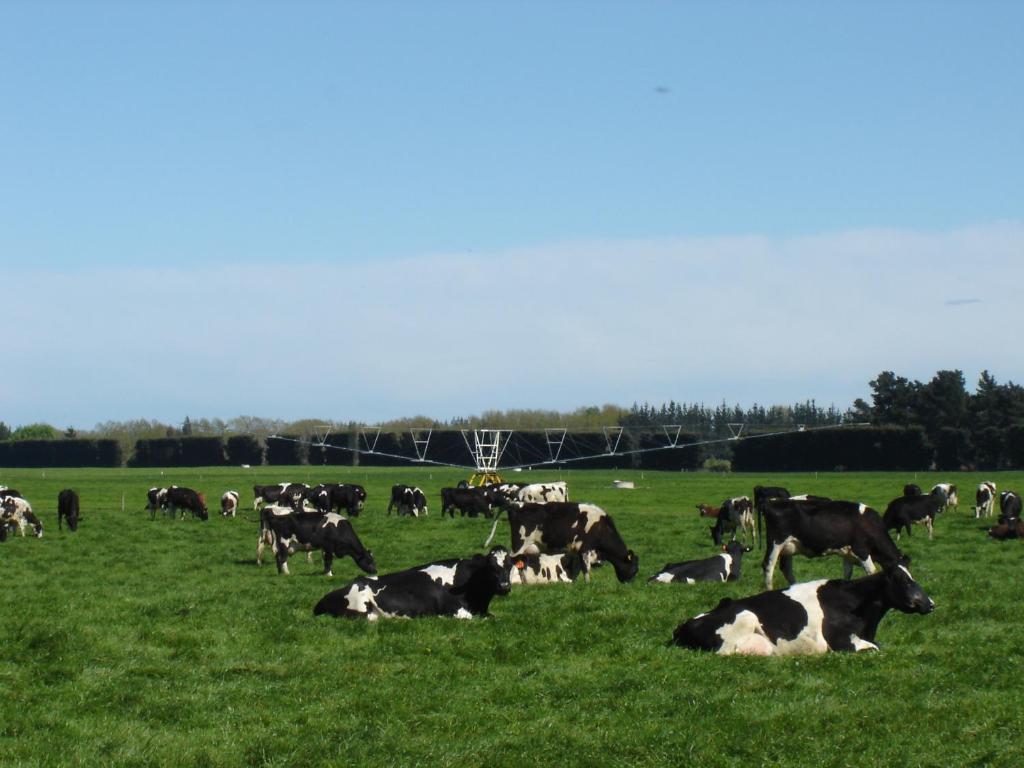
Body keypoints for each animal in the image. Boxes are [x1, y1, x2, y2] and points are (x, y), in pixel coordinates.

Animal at [483, 499, 634, 581]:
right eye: (634, 568)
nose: (630, 582)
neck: (601, 527)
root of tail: (517, 504)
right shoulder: (585, 548)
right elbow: (586, 569)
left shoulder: (577, 551)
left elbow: (578, 568)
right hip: (519, 544)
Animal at [671, 565, 937, 655]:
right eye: (905, 581)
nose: (930, 603)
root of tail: (683, 625)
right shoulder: (842, 643)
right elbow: (876, 649)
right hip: (744, 619)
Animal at [761, 499, 905, 589]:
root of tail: (770, 503)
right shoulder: (861, 550)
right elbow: (872, 571)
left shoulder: (848, 554)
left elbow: (847, 573)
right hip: (776, 544)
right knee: (768, 566)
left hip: (788, 548)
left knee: (786, 569)